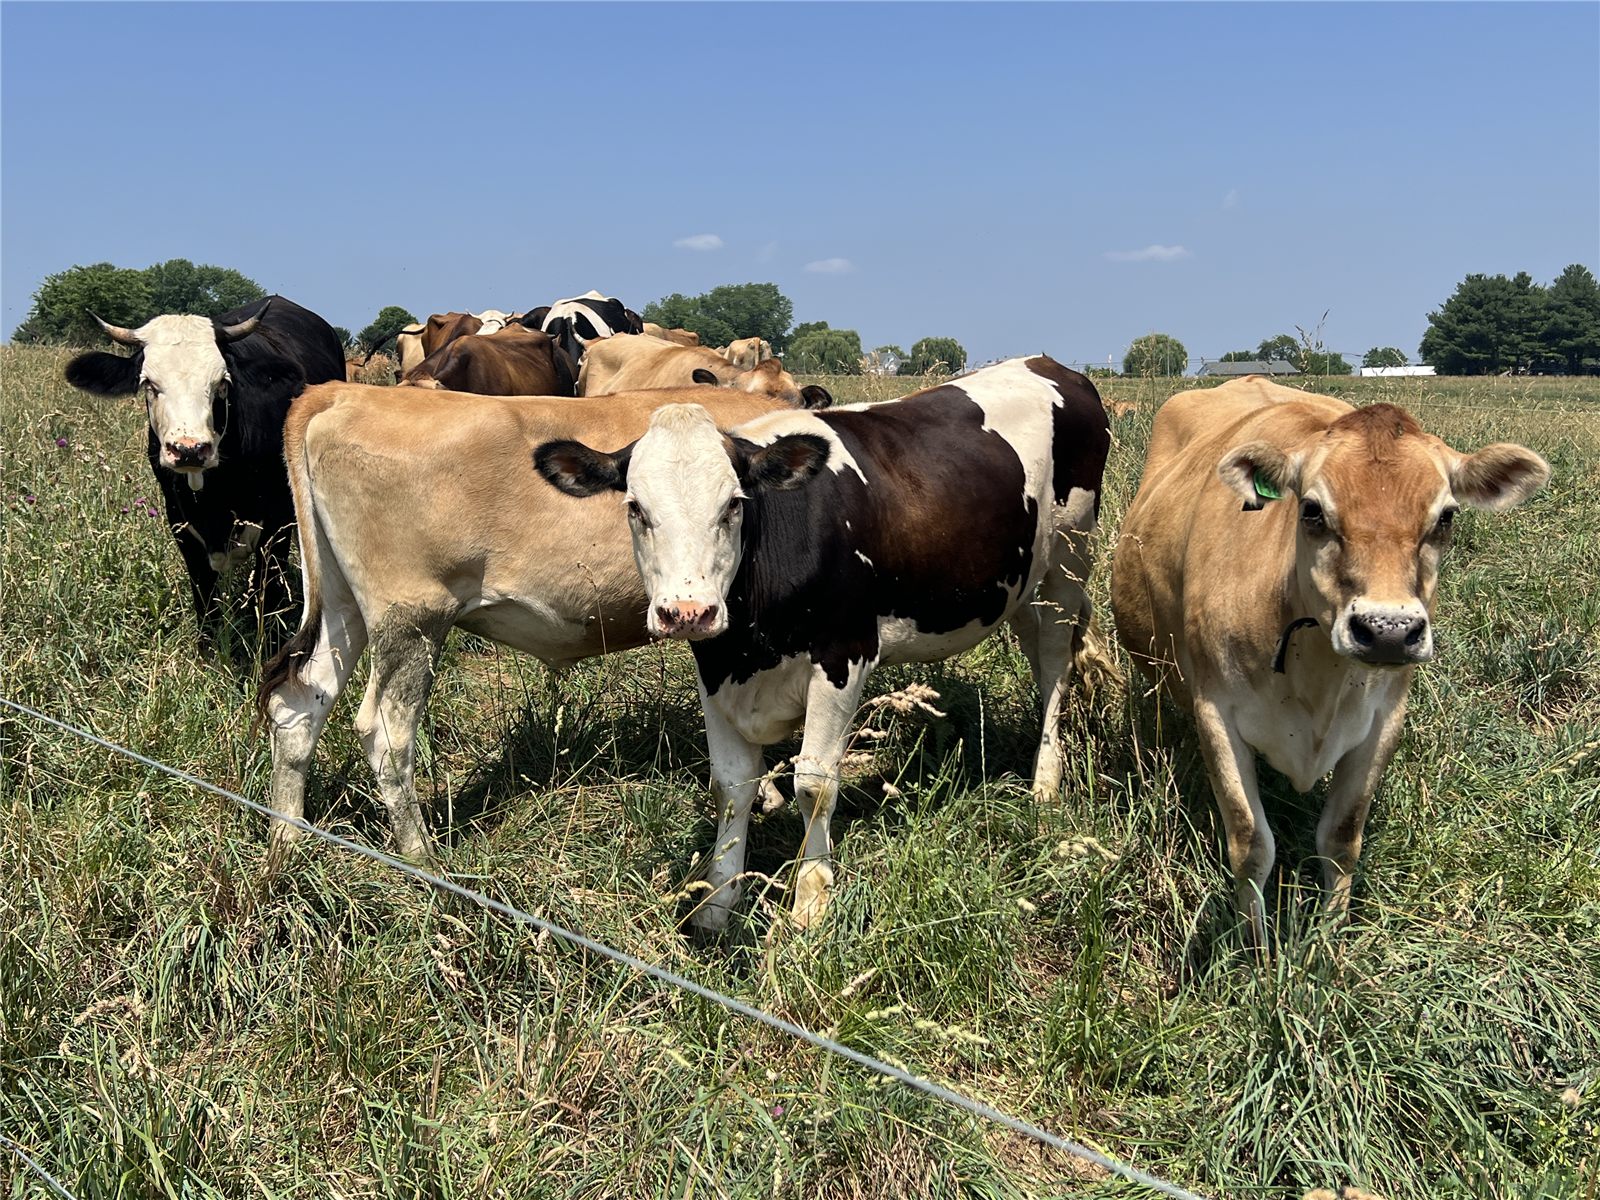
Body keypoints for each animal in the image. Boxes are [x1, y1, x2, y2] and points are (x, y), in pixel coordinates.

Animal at [64, 296, 345, 653]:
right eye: (148, 384)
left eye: (222, 383)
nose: (189, 449)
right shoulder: (180, 522)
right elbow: (205, 598)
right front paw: (208, 653)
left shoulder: (277, 524)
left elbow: (269, 594)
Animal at [257, 383, 814, 861]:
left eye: (732, 505)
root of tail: (341, 391)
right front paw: (767, 791)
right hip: (412, 616)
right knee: (386, 733)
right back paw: (424, 861)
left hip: (342, 604)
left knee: (299, 702)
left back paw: (286, 844)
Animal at [532, 356, 1112, 933]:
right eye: (635, 508)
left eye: (734, 505)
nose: (688, 611)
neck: (752, 644)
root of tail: (1046, 363)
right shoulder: (714, 667)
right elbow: (731, 785)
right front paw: (718, 900)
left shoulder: (844, 655)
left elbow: (814, 783)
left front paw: (811, 901)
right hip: (1022, 583)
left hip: (1069, 560)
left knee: (1055, 664)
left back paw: (1045, 782)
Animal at [1109, 378, 1550, 942]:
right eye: (1313, 510)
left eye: (1446, 516)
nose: (1388, 631)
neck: (1317, 679)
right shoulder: (1216, 712)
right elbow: (1251, 844)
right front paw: (1255, 951)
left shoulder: (1384, 718)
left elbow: (1341, 839)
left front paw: (1329, 941)